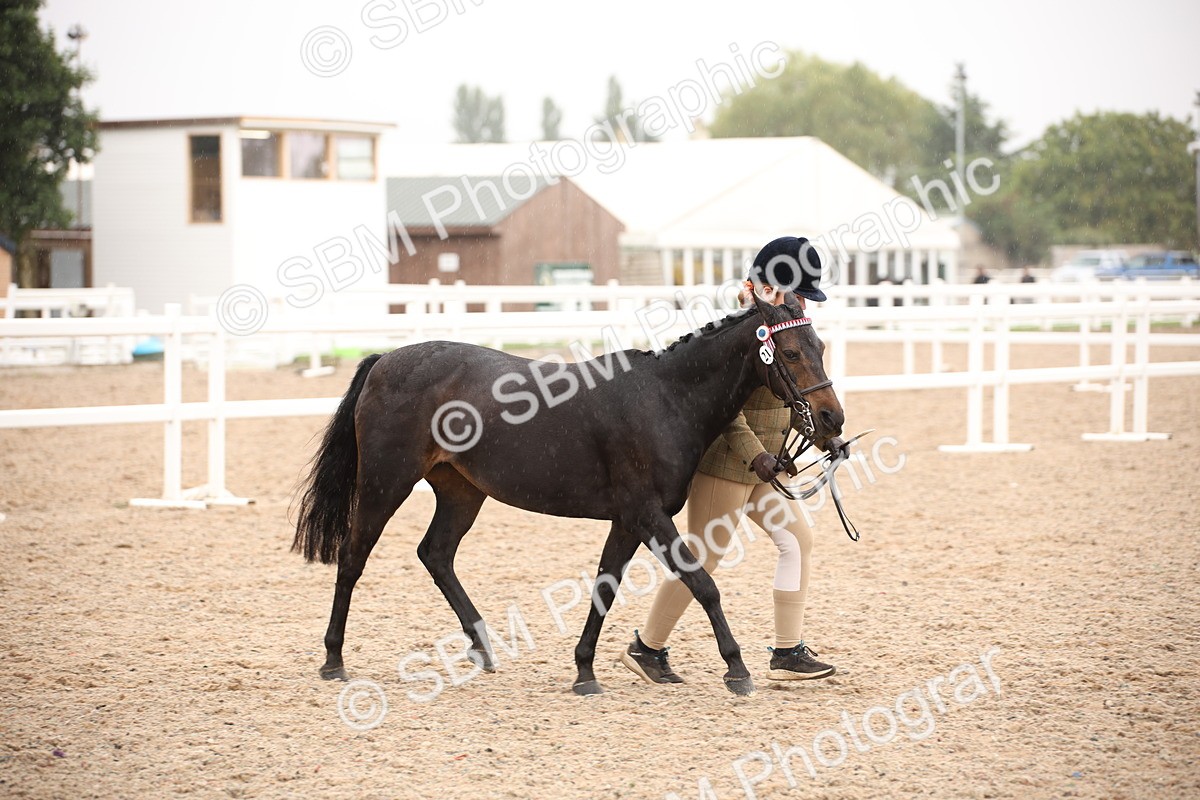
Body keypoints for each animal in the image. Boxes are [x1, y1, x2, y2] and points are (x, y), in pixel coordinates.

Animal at [292, 293, 845, 696]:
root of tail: (385, 359)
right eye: (790, 352)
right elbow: (702, 583)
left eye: (820, 346)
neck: (665, 397)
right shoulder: (646, 515)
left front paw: (585, 672)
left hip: (461, 491)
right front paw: (737, 669)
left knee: (436, 554)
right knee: (353, 558)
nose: (832, 420)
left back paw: (482, 646)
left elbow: (606, 587)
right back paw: (334, 659)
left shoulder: (628, 520)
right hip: (385, 483)